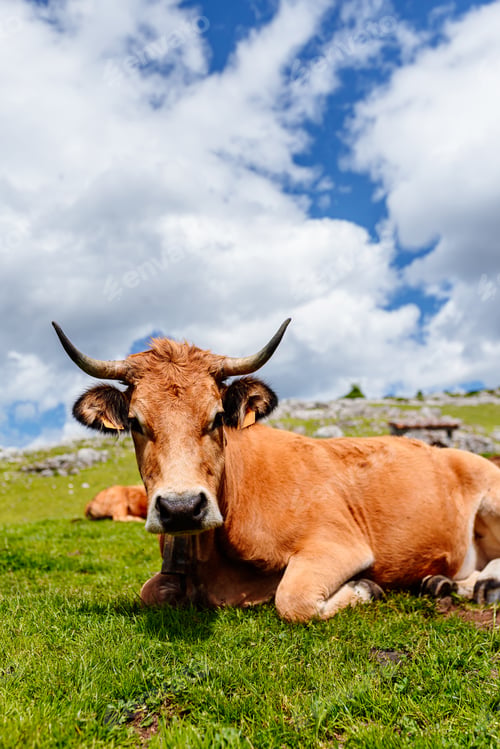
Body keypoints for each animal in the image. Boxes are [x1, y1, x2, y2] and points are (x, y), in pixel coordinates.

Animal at [52, 319, 500, 622]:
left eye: (217, 416)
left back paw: (483, 585)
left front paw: (366, 587)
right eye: (136, 422)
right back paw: (445, 583)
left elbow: (293, 600)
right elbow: (152, 590)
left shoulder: (338, 543)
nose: (181, 508)